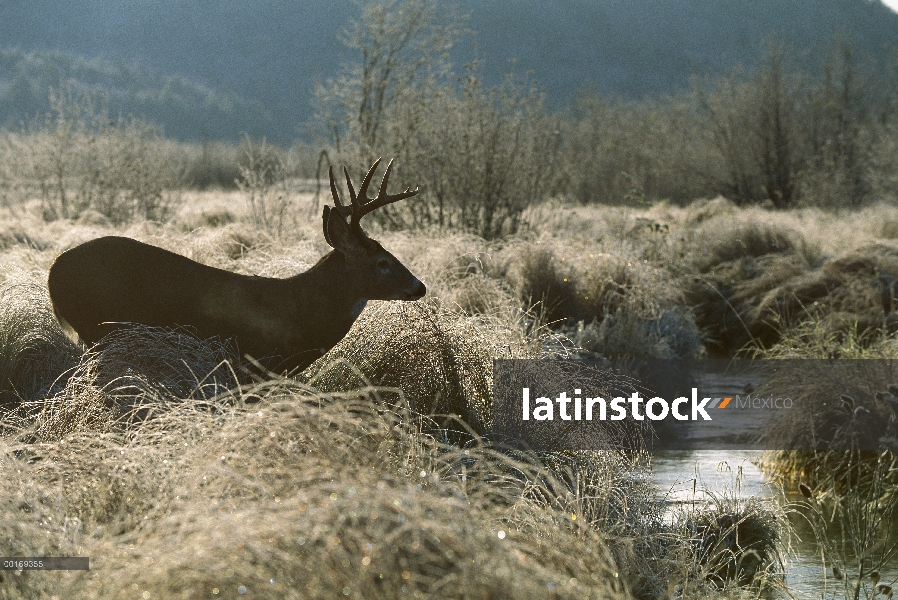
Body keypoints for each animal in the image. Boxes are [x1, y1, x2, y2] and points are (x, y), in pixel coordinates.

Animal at [47, 157, 426, 372]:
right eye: (382, 262)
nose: (419, 286)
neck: (299, 313)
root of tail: (53, 271)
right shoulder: (252, 362)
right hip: (96, 326)